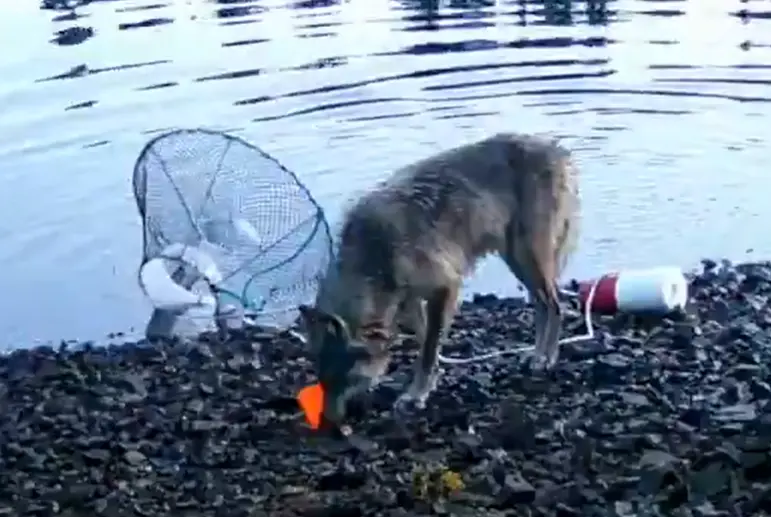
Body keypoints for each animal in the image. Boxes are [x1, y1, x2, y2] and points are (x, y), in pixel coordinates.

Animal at [298, 132, 580, 427]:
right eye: (321, 378)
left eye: (343, 379)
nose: (326, 423)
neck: (374, 255)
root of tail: (556, 148)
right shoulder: (410, 302)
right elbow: (426, 343)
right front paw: (430, 382)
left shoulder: (445, 288)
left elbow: (428, 350)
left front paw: (416, 395)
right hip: (517, 259)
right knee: (542, 304)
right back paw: (537, 354)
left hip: (527, 256)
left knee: (556, 304)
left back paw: (546, 358)